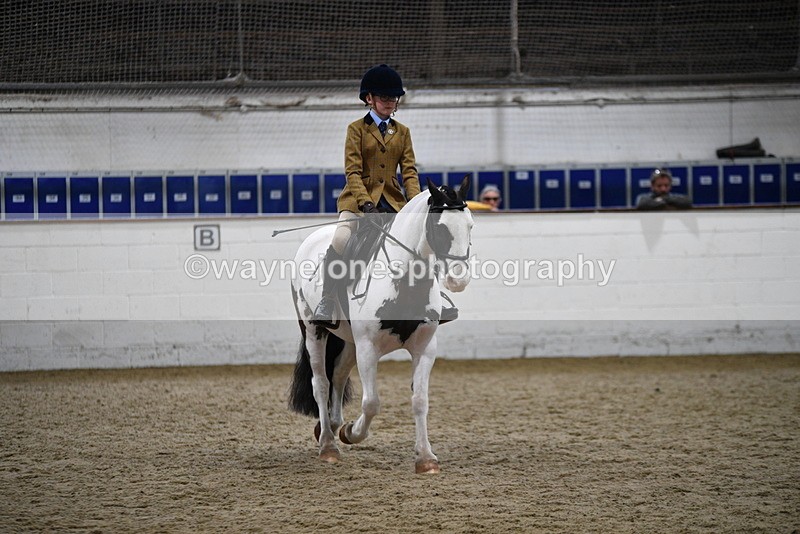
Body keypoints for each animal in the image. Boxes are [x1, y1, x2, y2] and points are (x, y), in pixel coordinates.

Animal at [287, 175, 474, 474]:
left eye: (470, 225)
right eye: (440, 227)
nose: (459, 280)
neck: (405, 281)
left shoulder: (425, 348)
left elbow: (420, 401)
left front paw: (426, 458)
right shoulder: (368, 348)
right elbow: (372, 403)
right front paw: (351, 432)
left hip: (348, 340)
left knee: (338, 375)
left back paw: (333, 425)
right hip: (314, 331)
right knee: (321, 383)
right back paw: (329, 444)